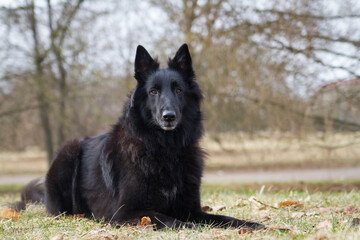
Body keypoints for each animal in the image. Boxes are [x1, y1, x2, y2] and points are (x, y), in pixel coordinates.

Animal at [17, 43, 264, 231]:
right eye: (153, 91)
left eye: (179, 90)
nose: (168, 116)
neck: (165, 149)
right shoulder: (127, 212)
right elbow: (167, 218)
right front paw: (190, 227)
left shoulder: (190, 208)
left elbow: (222, 218)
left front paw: (251, 224)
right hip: (69, 151)